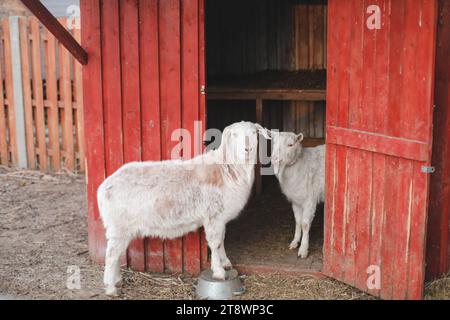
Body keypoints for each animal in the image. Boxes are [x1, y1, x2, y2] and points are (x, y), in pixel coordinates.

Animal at [96, 122, 268, 296]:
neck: (227, 170)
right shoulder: (213, 215)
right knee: (111, 255)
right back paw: (110, 288)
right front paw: (219, 272)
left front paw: (225, 262)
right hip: (119, 225)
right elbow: (215, 243)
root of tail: (103, 187)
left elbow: (222, 241)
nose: (247, 149)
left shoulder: (221, 217)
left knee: (116, 253)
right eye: (234, 135)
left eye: (254, 133)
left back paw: (117, 280)